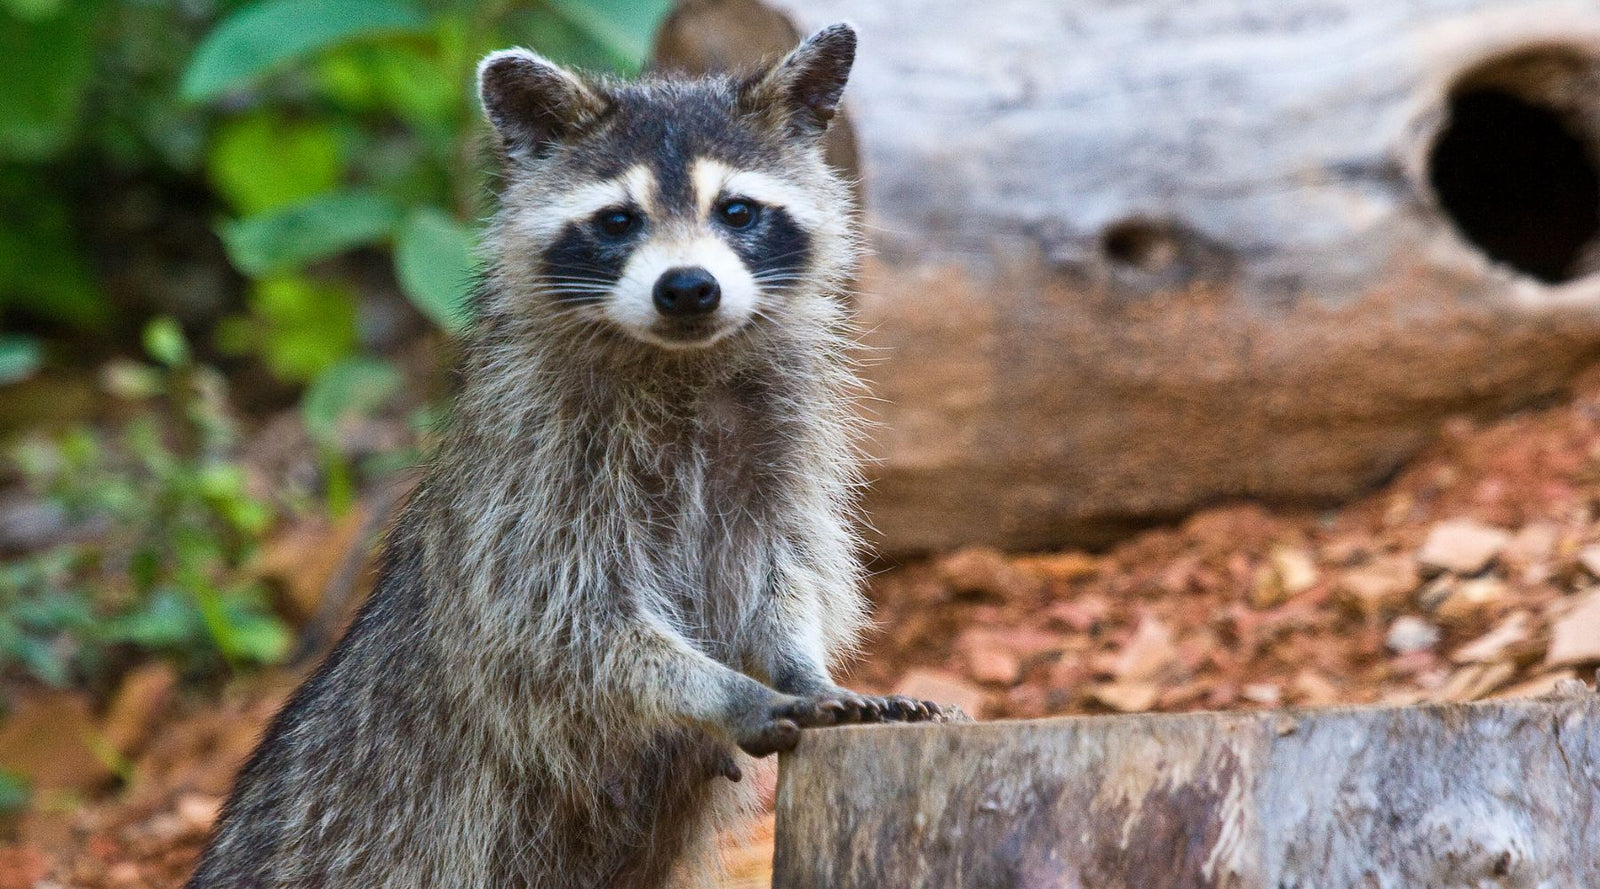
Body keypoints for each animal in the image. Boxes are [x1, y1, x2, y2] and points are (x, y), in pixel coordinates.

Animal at [186, 22, 953, 889]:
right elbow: (558, 627)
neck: (682, 363)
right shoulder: (534, 473)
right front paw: (724, 691)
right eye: (618, 221)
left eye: (737, 211)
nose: (688, 288)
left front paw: (802, 664)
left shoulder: (781, 452)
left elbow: (783, 570)